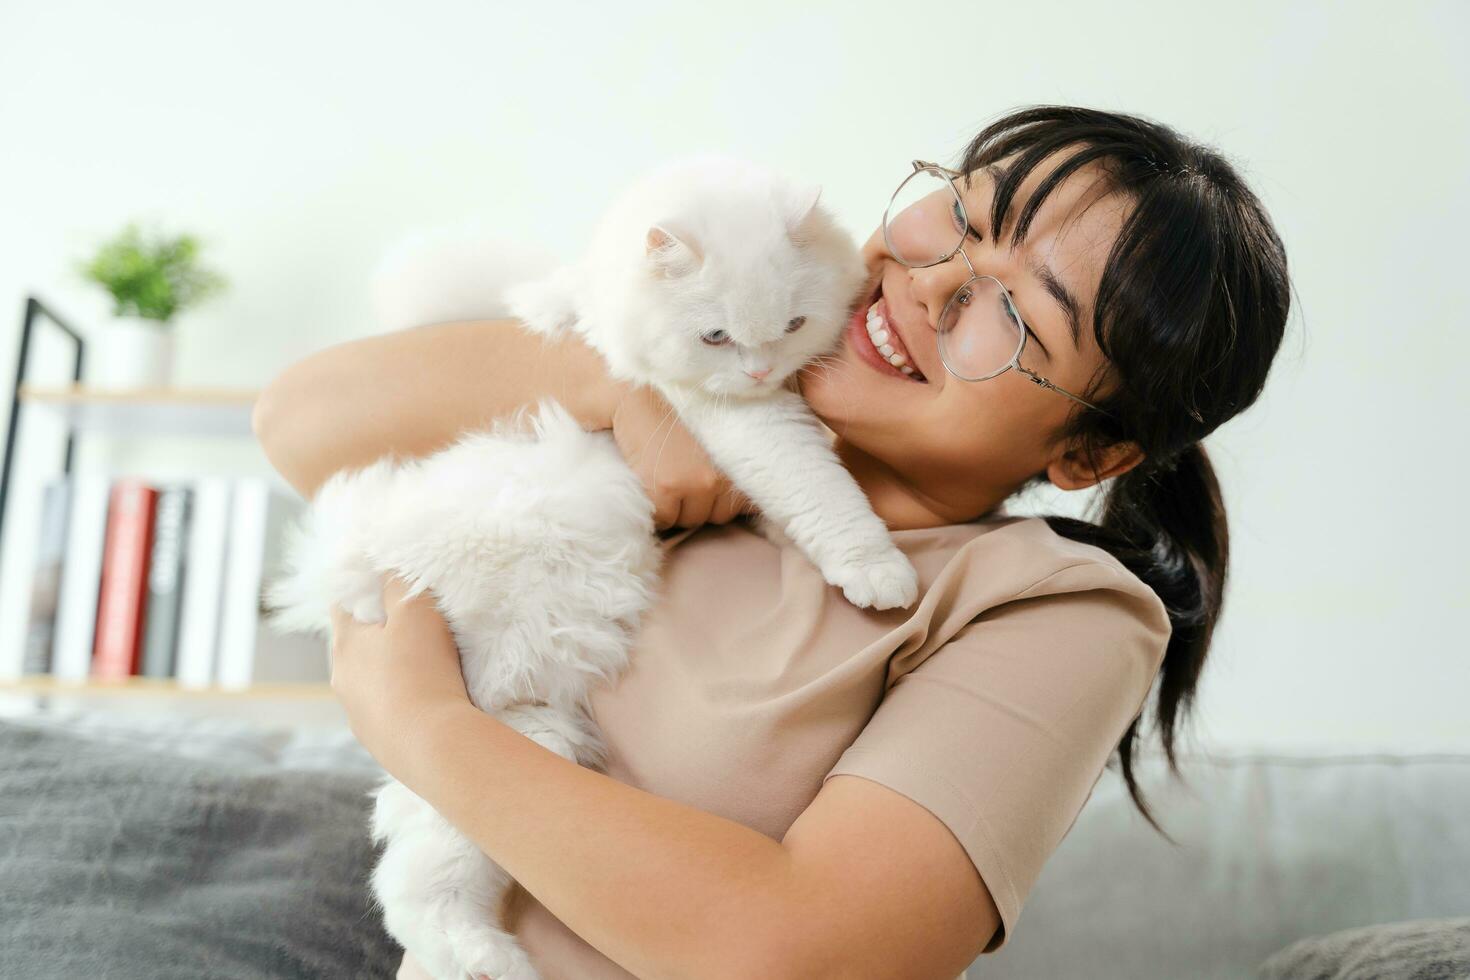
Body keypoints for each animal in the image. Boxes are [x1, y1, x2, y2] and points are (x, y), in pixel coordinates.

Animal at [511, 153, 911, 608]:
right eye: (716, 337)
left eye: (794, 325)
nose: (760, 373)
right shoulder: (741, 414)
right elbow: (816, 483)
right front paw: (876, 566)